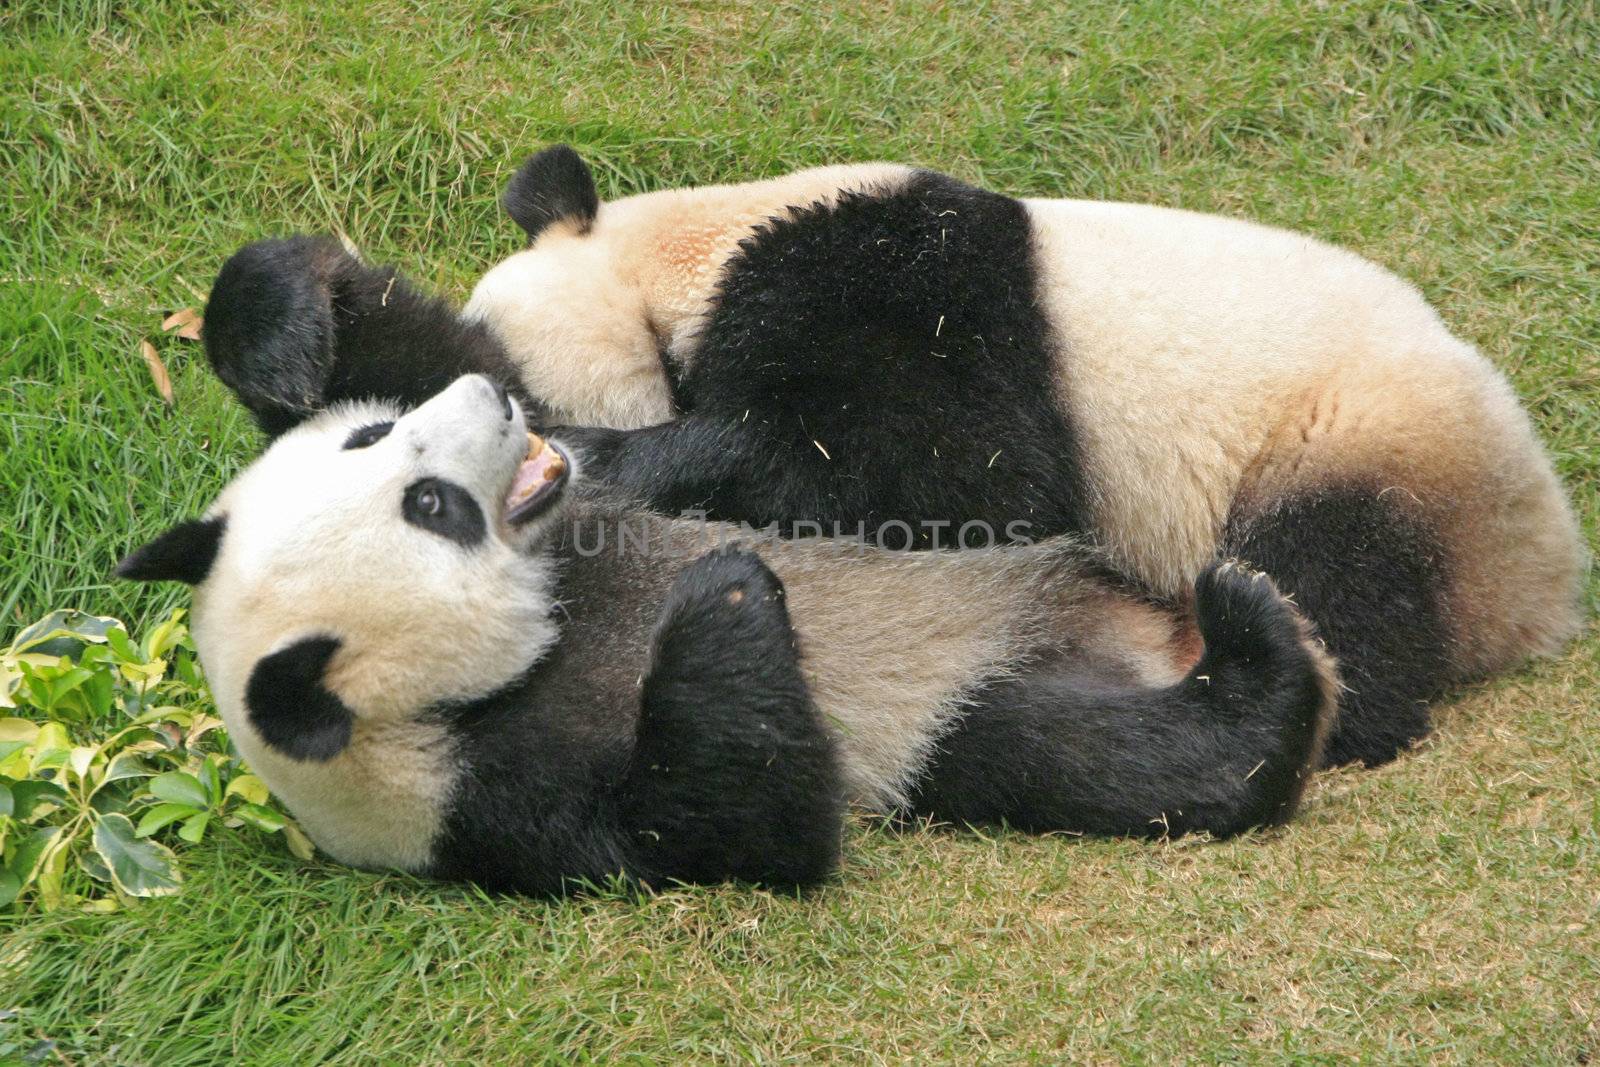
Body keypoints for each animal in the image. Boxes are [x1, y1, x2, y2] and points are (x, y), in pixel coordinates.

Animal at [116, 374, 1337, 895]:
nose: (491, 394)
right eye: (433, 507)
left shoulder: (603, 515)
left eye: (368, 436)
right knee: (1110, 755)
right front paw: (728, 597)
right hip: (969, 709)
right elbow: (740, 829)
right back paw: (1254, 632)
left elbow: (690, 463)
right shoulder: (498, 801)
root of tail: (1155, 639)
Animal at [203, 146, 1587, 771]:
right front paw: (293, 337)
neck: (691, 250)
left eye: (526, 412)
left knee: (1337, 580)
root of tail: (1543, 592)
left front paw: (630, 451)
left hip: (1359, 440)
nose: (510, 427)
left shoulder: (903, 287)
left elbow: (956, 478)